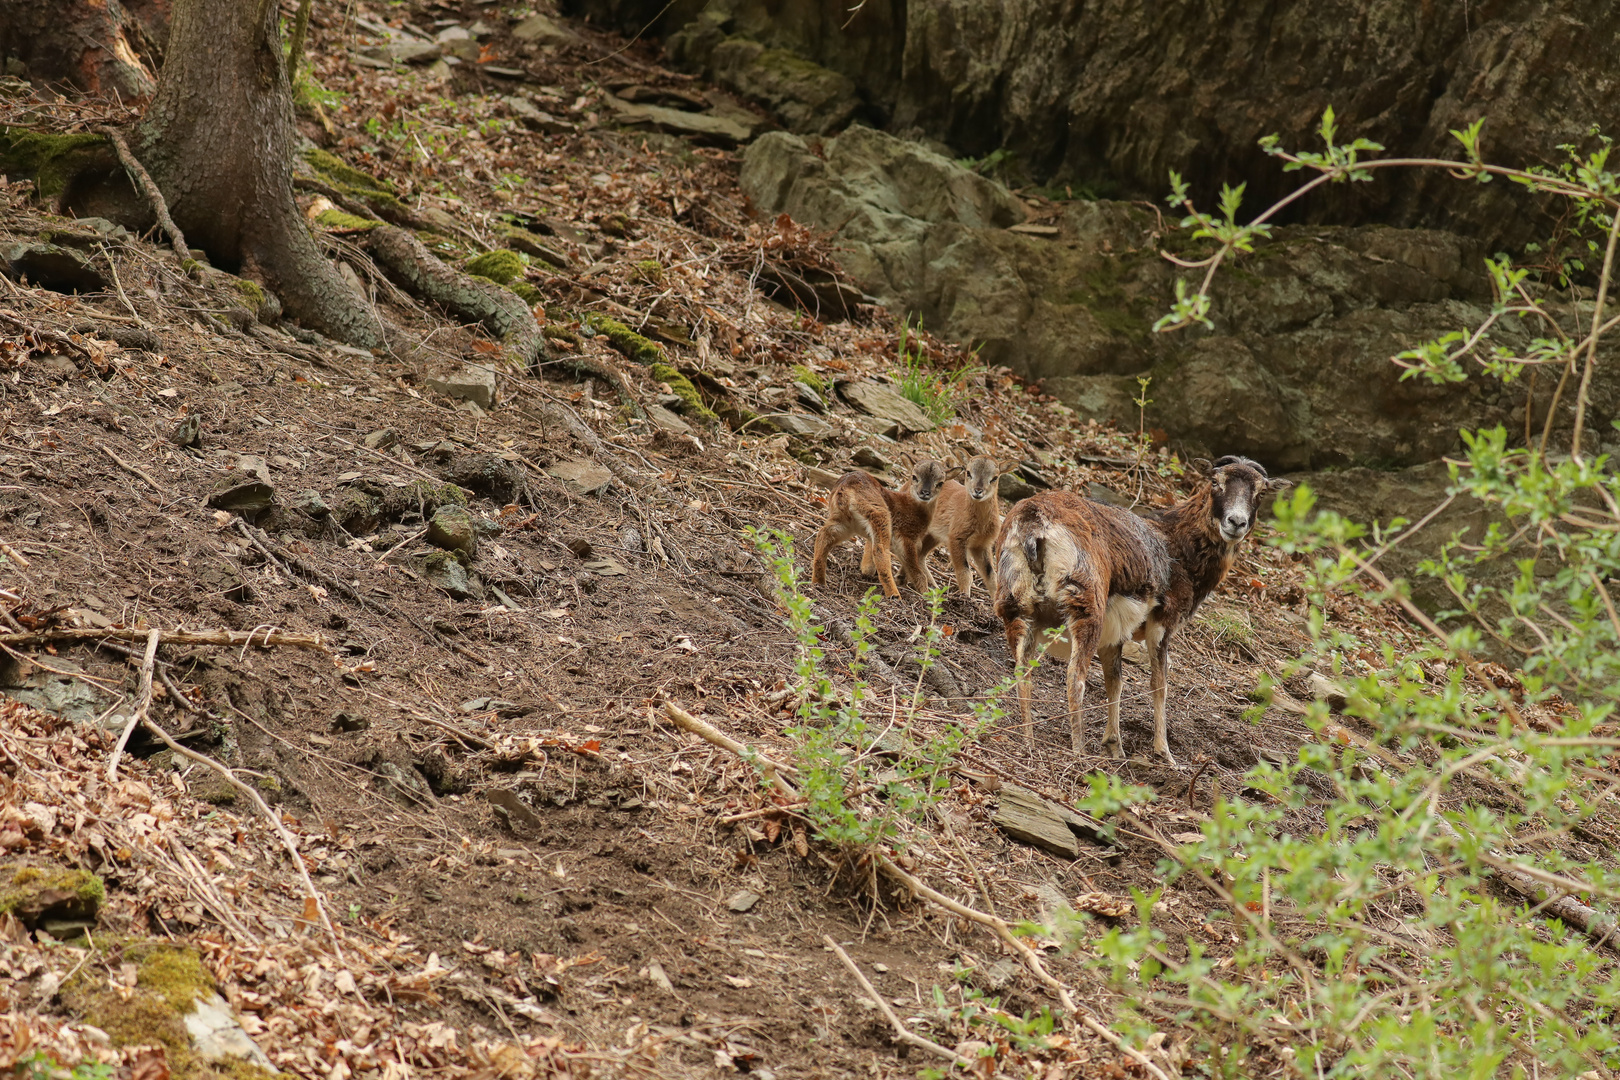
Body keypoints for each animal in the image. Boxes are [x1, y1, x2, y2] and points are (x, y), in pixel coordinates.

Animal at [991, 453, 1283, 761]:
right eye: (1216, 482)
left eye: (1261, 492)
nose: (1236, 522)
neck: (1176, 547)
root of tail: (1033, 524)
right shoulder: (1161, 624)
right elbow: (1159, 684)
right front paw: (1165, 754)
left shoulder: (1114, 636)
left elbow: (1114, 682)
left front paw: (1115, 746)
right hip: (1084, 610)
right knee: (1075, 677)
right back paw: (1079, 750)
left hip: (1018, 611)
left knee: (1023, 674)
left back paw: (1028, 743)